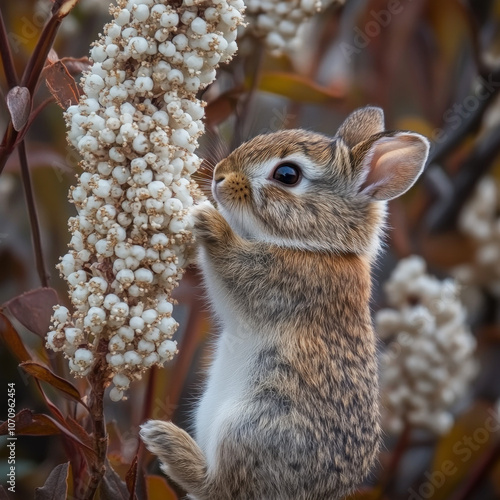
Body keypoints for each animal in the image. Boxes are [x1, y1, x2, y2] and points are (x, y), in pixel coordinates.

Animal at [141, 106, 430, 500]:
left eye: (287, 175)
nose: (218, 176)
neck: (318, 246)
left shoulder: (275, 282)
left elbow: (231, 267)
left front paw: (206, 218)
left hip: (253, 426)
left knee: (222, 486)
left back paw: (165, 442)